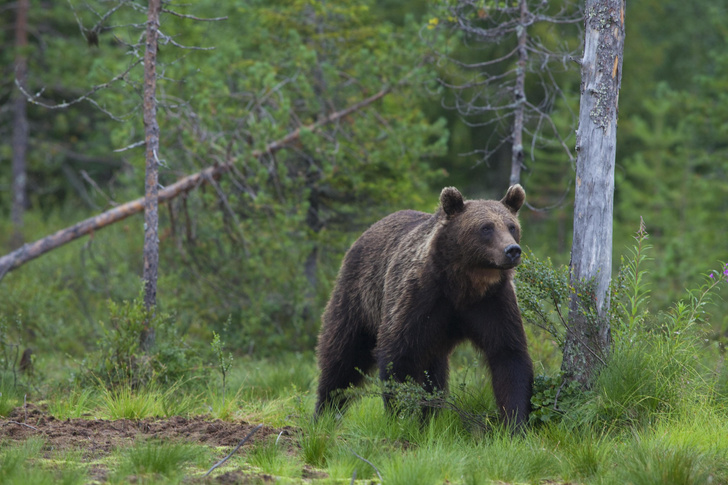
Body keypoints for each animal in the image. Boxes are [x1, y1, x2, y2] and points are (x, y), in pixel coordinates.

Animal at [316, 184, 532, 428]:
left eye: (512, 226)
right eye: (486, 227)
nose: (512, 250)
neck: (464, 284)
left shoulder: (492, 302)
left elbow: (509, 355)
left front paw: (514, 422)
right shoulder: (420, 298)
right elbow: (399, 354)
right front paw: (402, 416)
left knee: (434, 371)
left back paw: (430, 416)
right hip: (358, 298)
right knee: (343, 355)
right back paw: (325, 411)